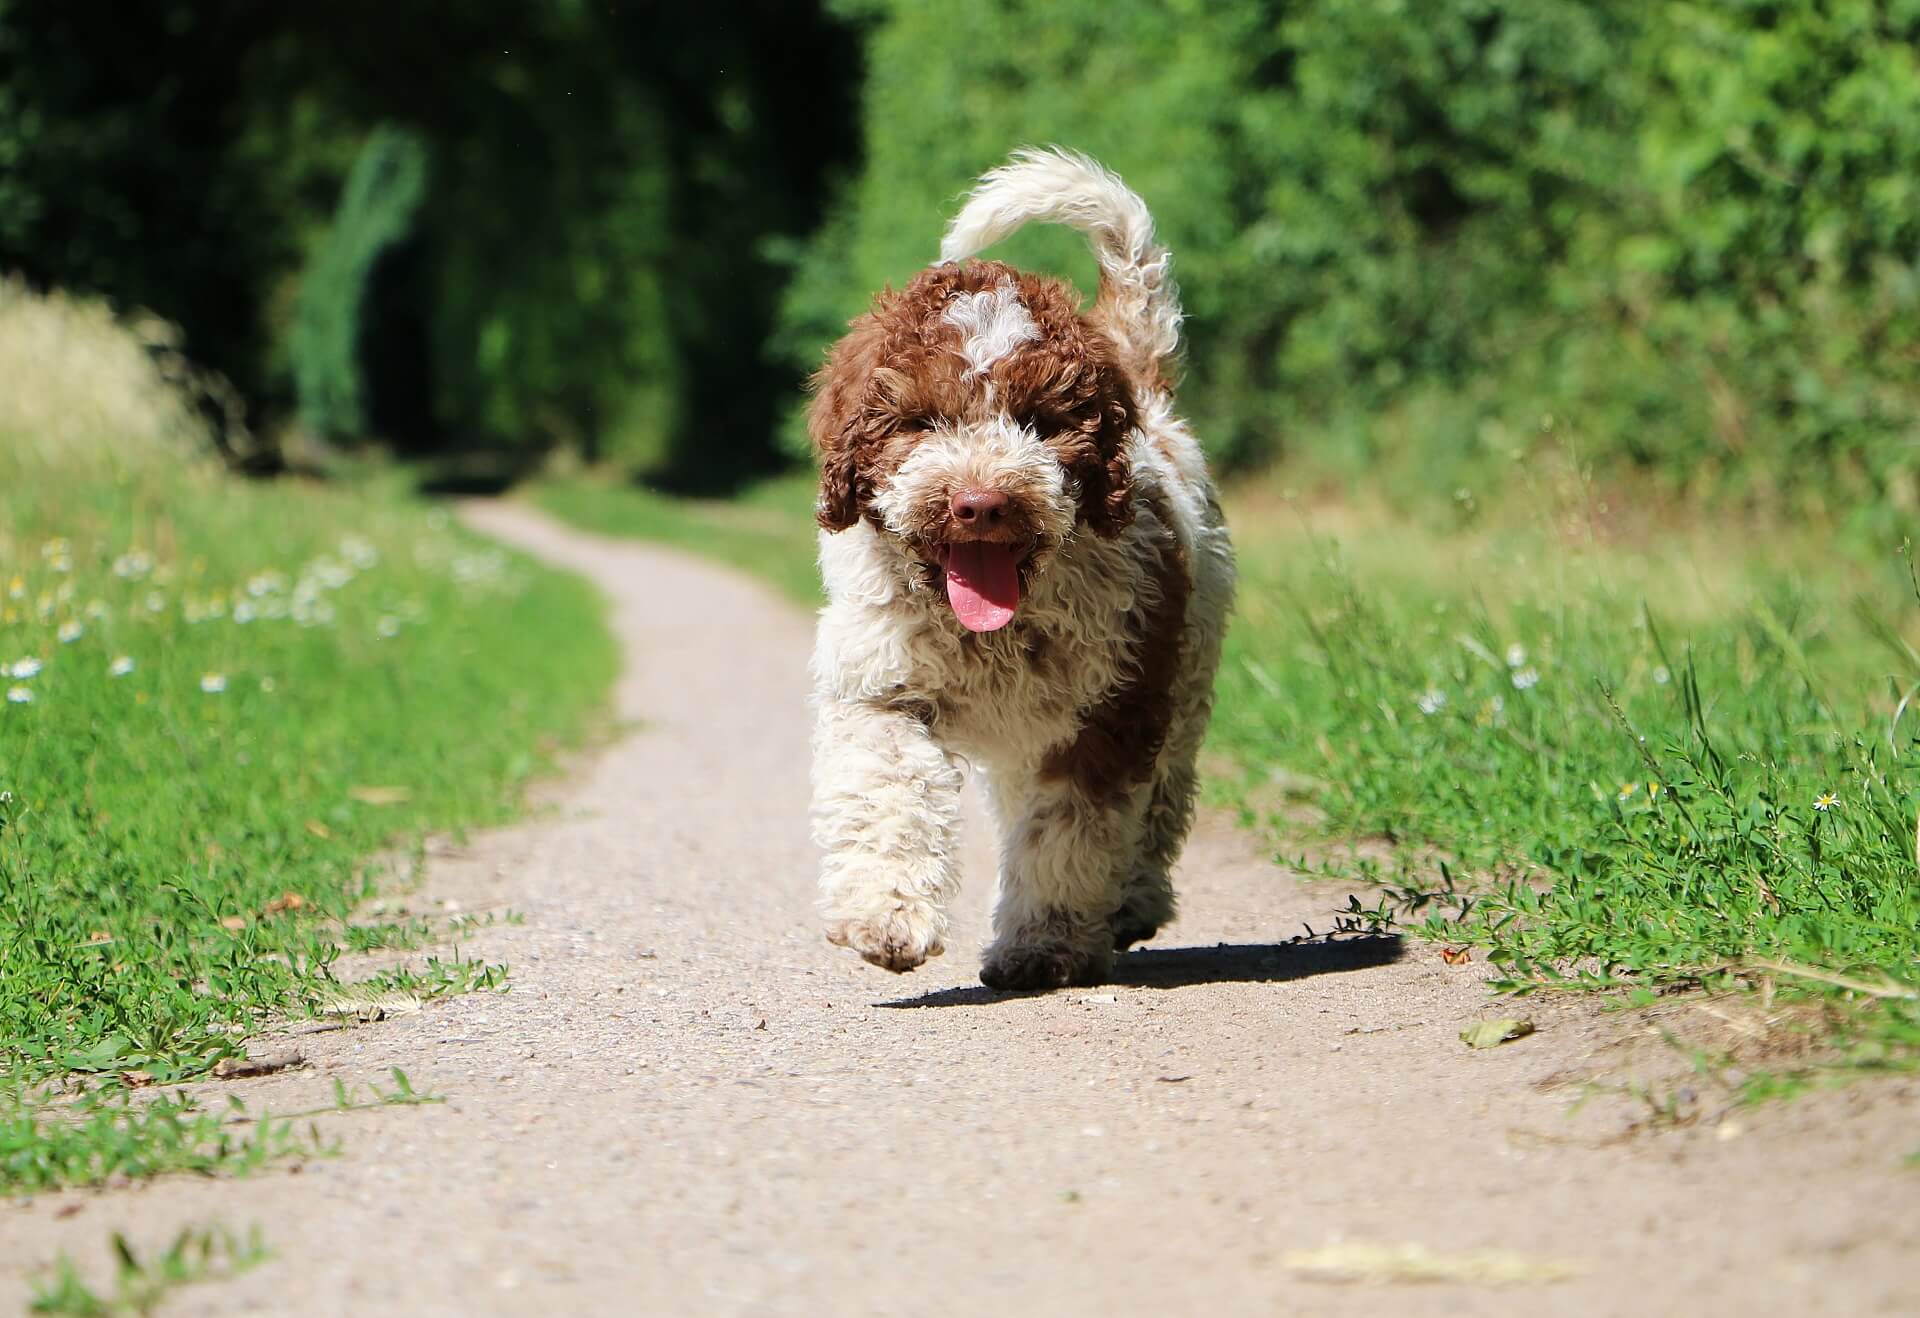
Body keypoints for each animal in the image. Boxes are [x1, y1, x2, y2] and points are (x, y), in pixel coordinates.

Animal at [806, 146, 1228, 991]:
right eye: (920, 421)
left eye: (1041, 421)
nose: (981, 504)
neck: (989, 630)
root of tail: (1148, 394)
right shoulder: (880, 688)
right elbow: (888, 788)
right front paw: (885, 917)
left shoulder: (1112, 709)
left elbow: (1069, 834)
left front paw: (1045, 946)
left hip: (1187, 673)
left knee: (1162, 801)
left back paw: (1133, 901)